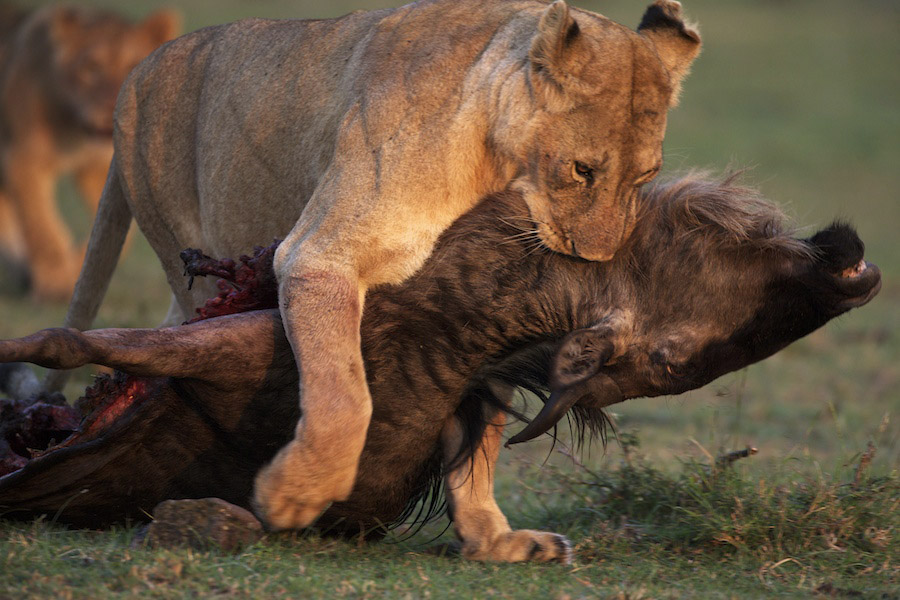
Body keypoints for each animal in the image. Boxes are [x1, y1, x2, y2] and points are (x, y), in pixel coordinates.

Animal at [0, 4, 181, 302]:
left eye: (131, 66)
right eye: (91, 68)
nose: (111, 106)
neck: (75, 131)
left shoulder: (99, 170)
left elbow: (113, 232)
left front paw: (77, 267)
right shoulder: (23, 160)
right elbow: (42, 226)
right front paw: (54, 280)